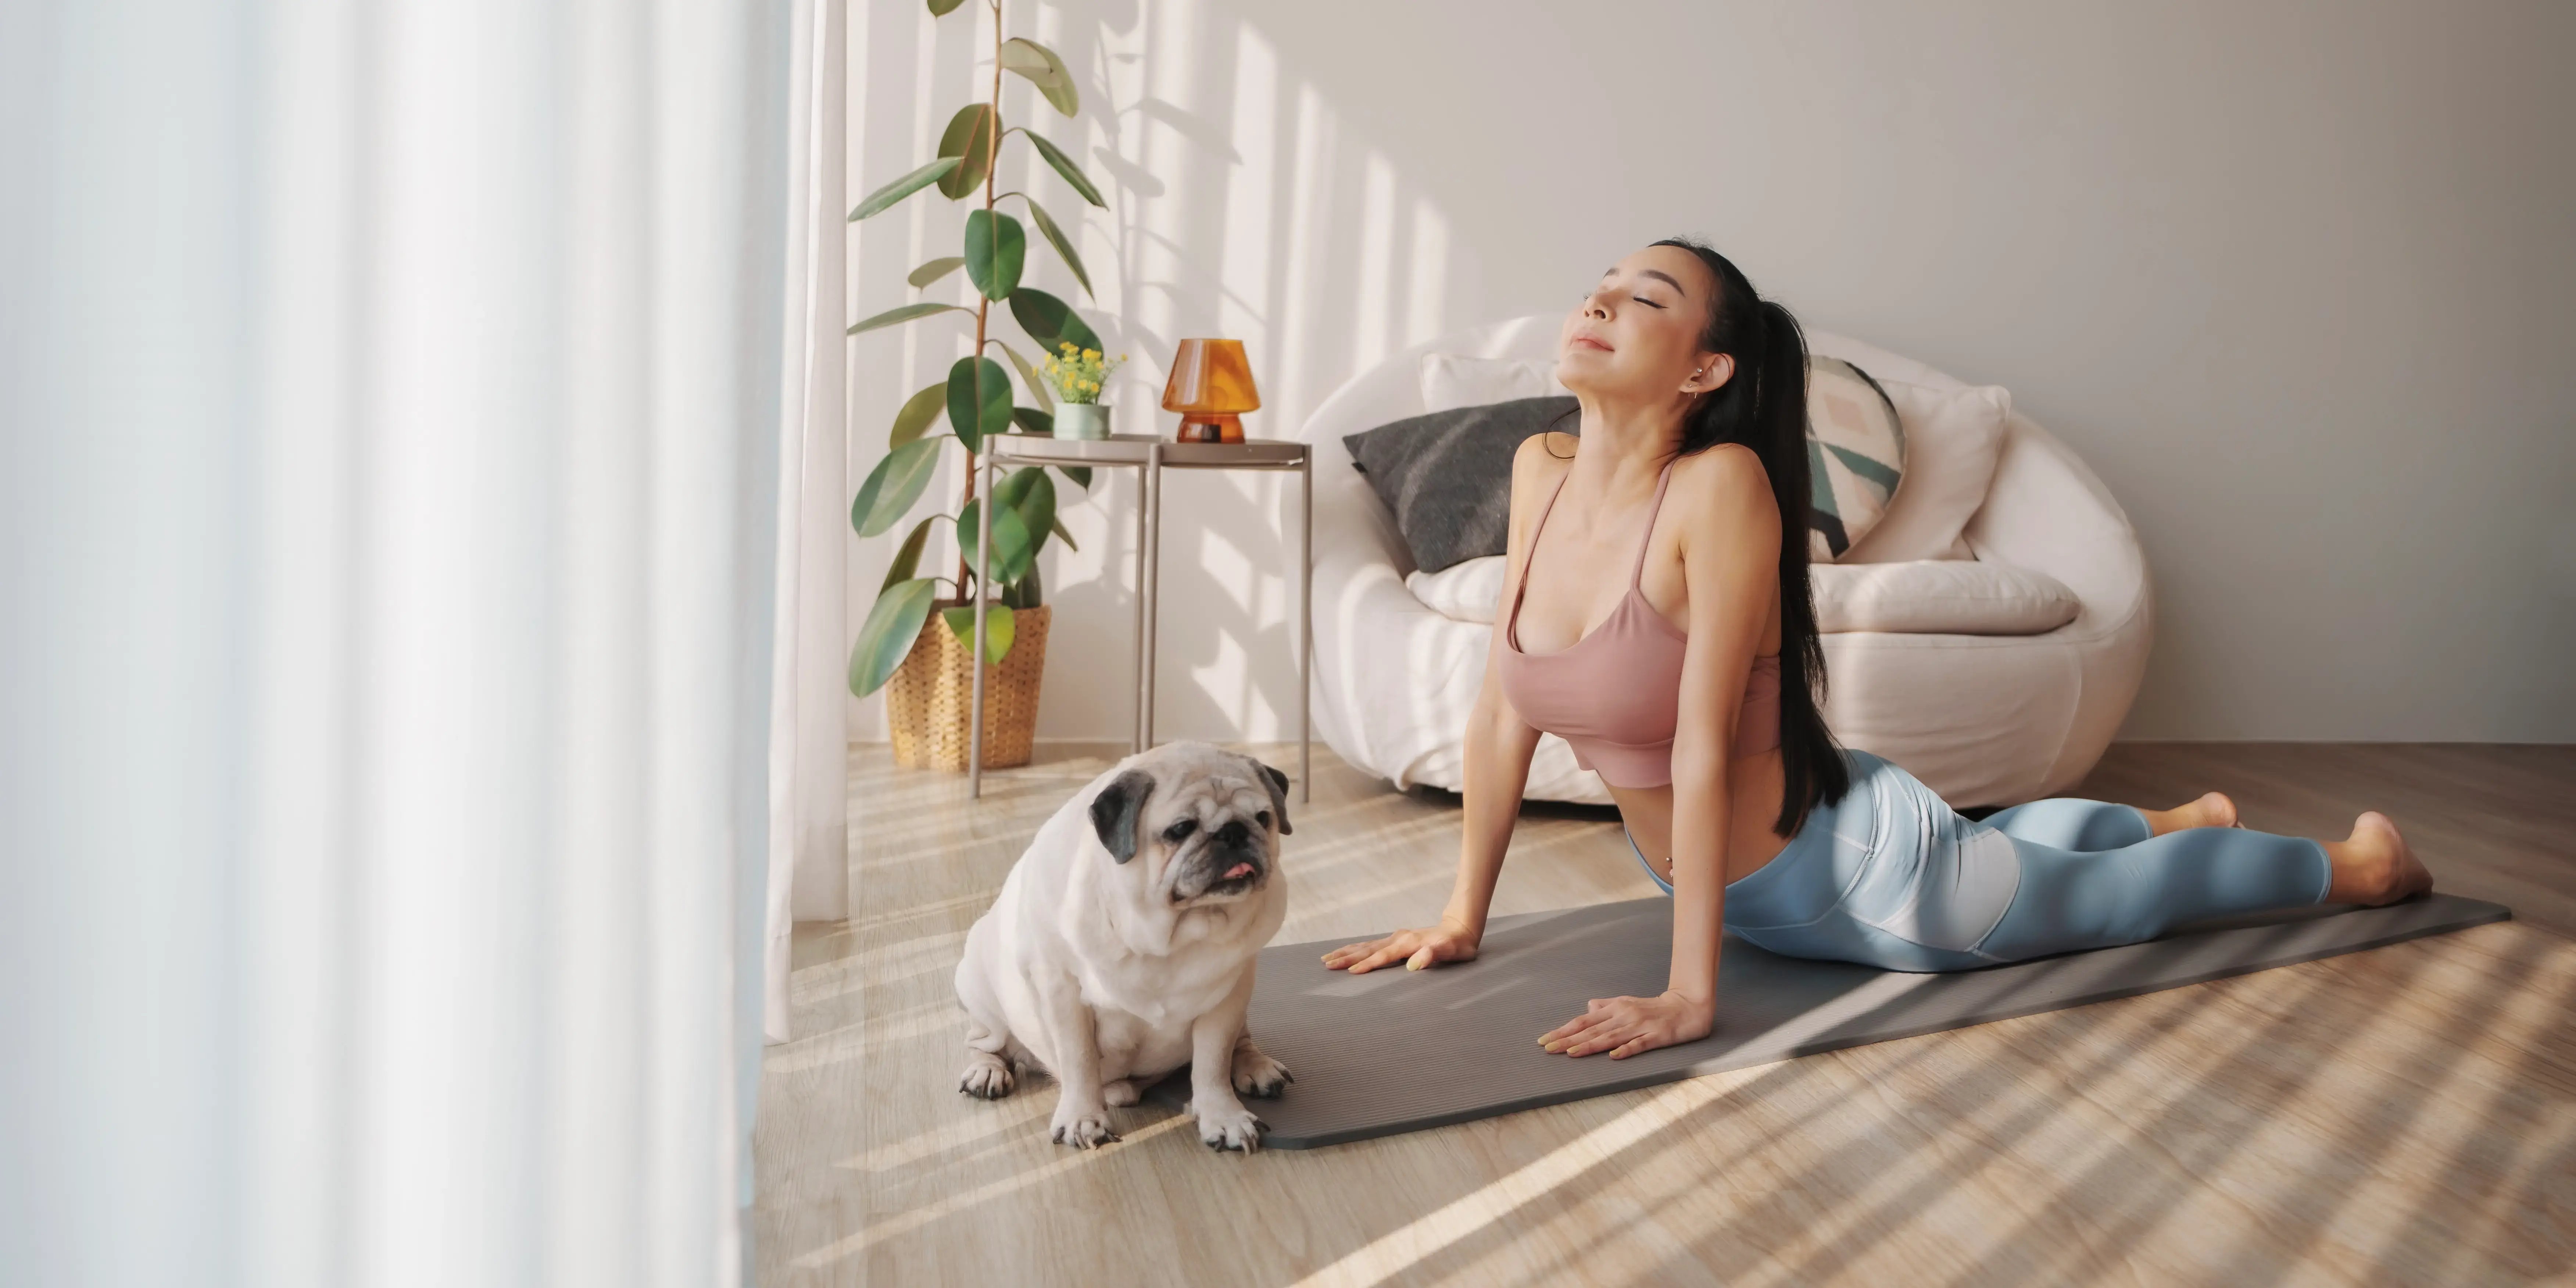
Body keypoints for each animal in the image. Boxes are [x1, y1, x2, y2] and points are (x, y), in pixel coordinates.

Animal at [958, 742, 1298, 1154]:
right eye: (1181, 829)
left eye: (1263, 818)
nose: (1234, 832)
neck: (1172, 932)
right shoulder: (1062, 992)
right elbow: (1080, 1060)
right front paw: (1082, 1118)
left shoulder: (1227, 998)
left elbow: (1213, 1061)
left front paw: (1224, 1116)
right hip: (979, 989)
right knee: (986, 1042)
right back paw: (986, 1071)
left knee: (1240, 1041)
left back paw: (1255, 1066)